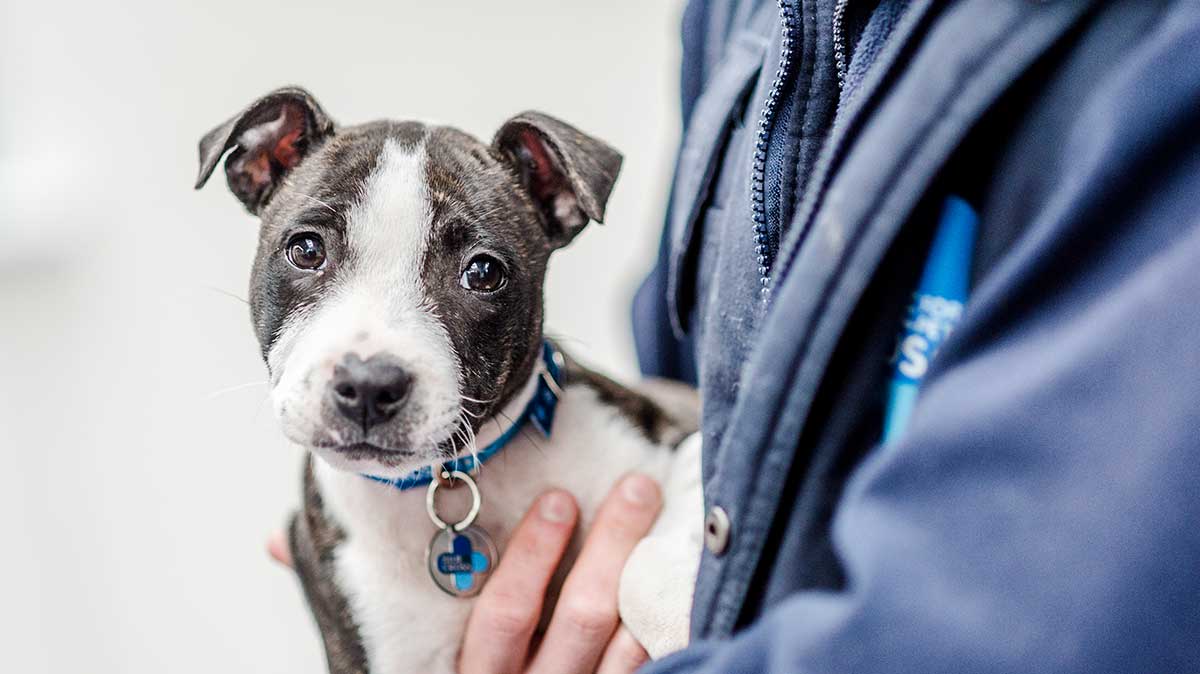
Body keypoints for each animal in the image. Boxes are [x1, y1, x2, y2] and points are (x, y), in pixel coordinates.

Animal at [194, 89, 700, 671]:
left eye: (483, 273)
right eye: (306, 250)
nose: (369, 385)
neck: (448, 483)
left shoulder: (684, 430)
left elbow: (657, 552)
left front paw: (679, 617)